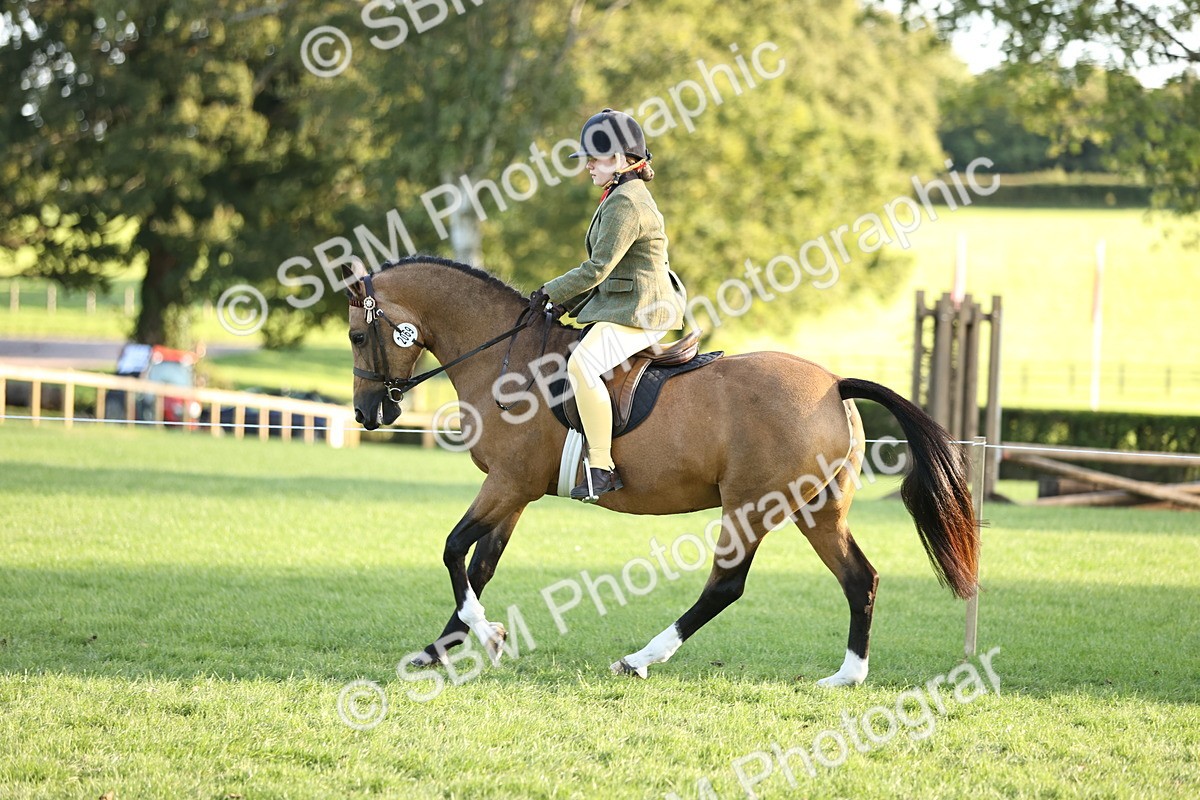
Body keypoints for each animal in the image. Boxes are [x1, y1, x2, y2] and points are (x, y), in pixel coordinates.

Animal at [344, 256, 978, 686]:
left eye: (355, 334)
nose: (368, 414)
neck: (505, 361)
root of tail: (834, 383)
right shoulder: (516, 492)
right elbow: (481, 565)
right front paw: (442, 648)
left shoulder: (507, 484)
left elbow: (454, 550)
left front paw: (488, 636)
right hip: (816, 509)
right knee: (859, 578)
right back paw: (847, 676)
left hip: (749, 506)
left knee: (726, 586)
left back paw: (640, 659)